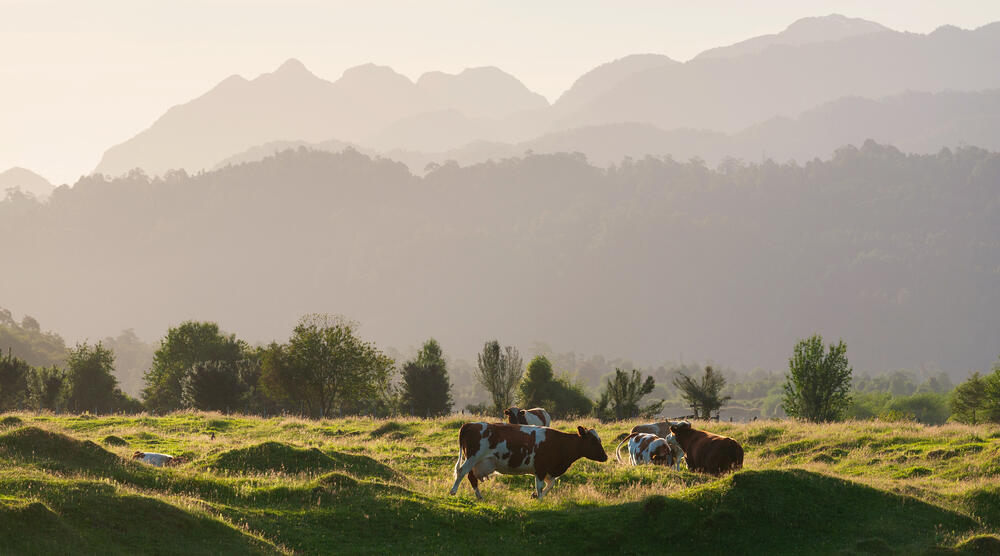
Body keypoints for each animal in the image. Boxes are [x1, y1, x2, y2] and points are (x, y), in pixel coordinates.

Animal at [450, 422, 604, 500]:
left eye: (599, 439)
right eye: (593, 441)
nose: (605, 457)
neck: (560, 443)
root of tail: (470, 424)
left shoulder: (546, 471)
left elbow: (550, 485)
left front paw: (535, 496)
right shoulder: (541, 468)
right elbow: (540, 486)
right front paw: (540, 499)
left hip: (476, 461)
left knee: (471, 476)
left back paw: (479, 496)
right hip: (473, 457)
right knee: (462, 471)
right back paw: (454, 491)